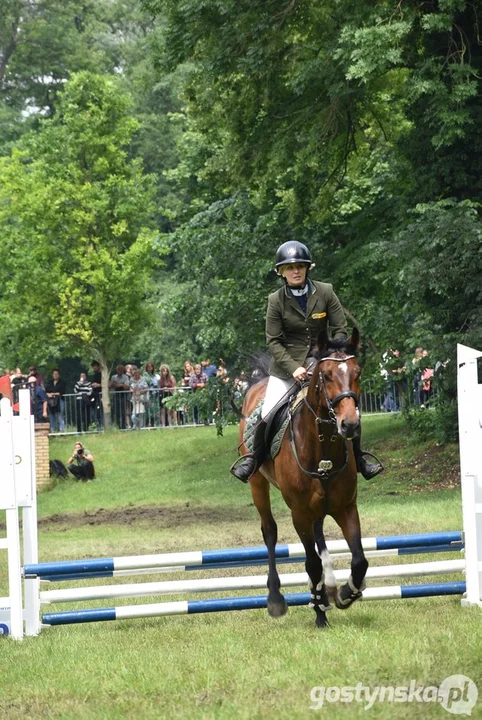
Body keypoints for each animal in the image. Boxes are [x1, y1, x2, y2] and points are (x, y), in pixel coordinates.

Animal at [239, 330, 368, 628]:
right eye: (327, 375)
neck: (323, 450)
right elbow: (311, 563)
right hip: (258, 484)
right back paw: (276, 599)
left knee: (319, 533)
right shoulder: (299, 513)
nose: (350, 425)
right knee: (269, 531)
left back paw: (330, 588)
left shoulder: (346, 507)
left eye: (357, 372)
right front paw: (319, 612)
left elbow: (359, 560)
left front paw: (346, 594)